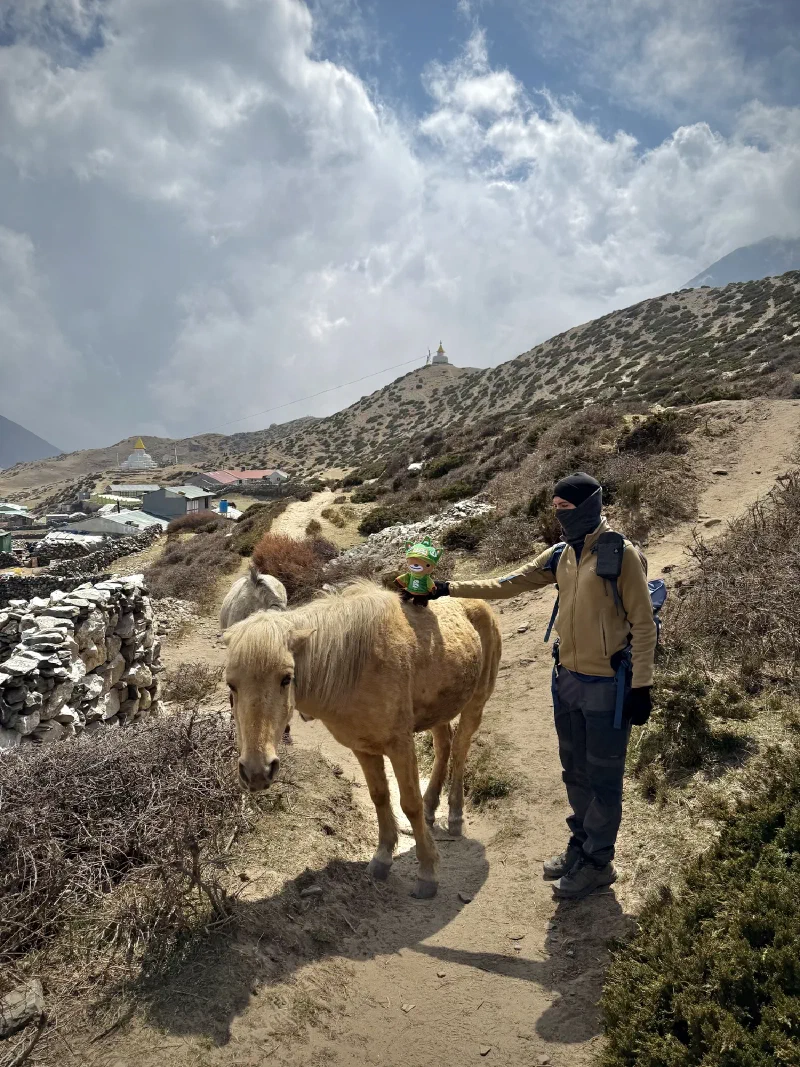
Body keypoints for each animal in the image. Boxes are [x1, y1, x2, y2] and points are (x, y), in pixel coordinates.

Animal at [223, 580, 501, 899]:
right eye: (231, 684)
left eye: (285, 678)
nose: (256, 771)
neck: (353, 667)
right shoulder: (363, 748)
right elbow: (380, 796)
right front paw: (382, 859)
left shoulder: (400, 745)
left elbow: (409, 803)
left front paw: (427, 872)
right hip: (440, 708)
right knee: (443, 746)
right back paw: (433, 806)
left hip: (475, 703)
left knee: (460, 748)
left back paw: (454, 815)